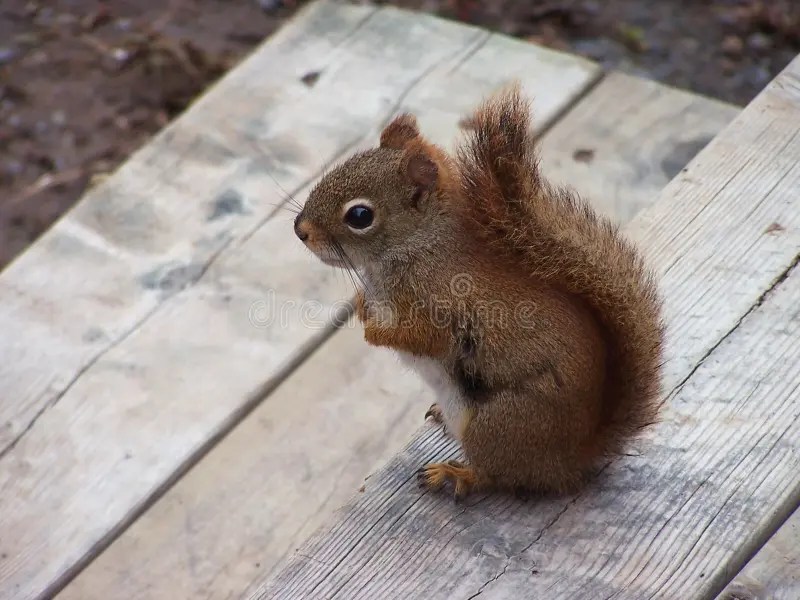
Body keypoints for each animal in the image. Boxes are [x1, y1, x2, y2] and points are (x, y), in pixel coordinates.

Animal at [293, 82, 664, 500]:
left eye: (360, 216)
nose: (300, 229)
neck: (417, 248)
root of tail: (574, 457)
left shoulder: (440, 304)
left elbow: (424, 338)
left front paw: (374, 332)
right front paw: (360, 305)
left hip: (500, 425)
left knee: (497, 476)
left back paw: (455, 474)